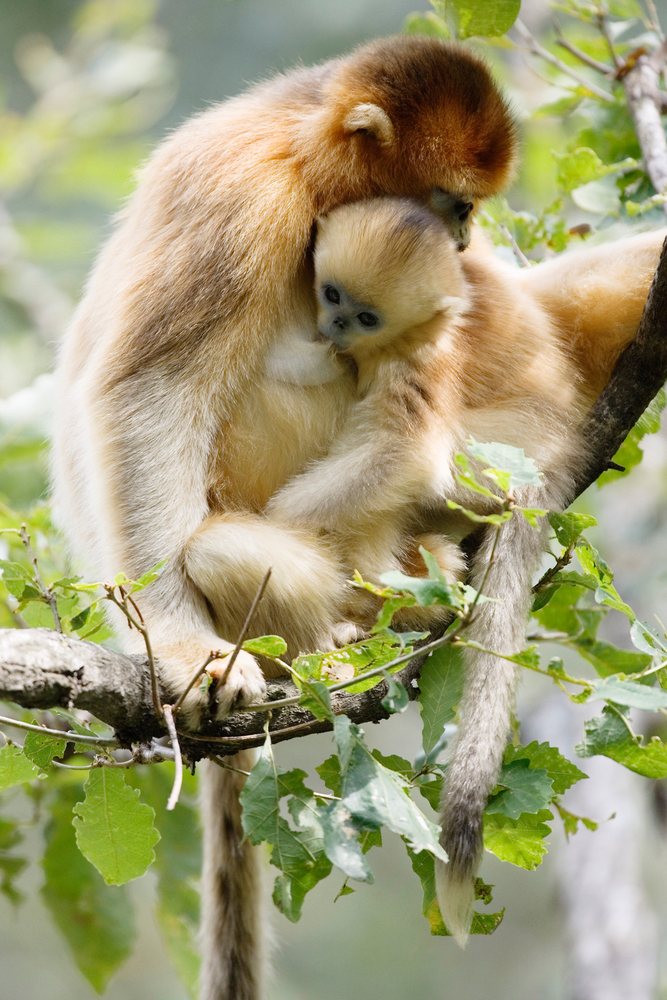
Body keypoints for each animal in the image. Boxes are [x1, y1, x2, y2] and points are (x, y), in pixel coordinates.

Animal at [52, 36, 519, 1000]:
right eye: (452, 201)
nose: (463, 239)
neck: (301, 151)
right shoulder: (245, 205)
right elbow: (151, 393)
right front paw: (186, 654)